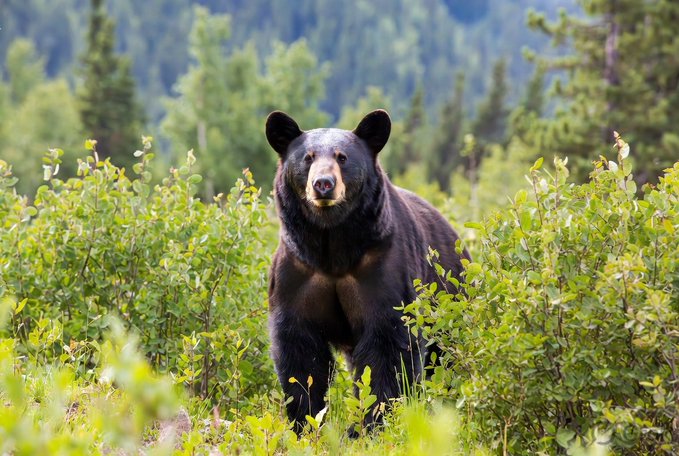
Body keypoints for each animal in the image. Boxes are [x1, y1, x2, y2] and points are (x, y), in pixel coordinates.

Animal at [265, 109, 469, 434]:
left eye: (342, 157)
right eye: (308, 157)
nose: (323, 184)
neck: (332, 248)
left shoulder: (383, 271)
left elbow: (389, 347)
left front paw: (374, 422)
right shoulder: (297, 272)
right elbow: (300, 351)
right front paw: (306, 420)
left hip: (449, 298)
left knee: (443, 358)